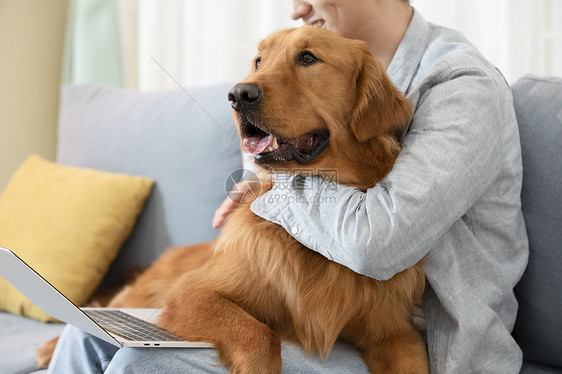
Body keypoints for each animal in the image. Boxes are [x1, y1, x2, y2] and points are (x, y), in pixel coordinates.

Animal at [39, 24, 426, 372]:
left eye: (307, 58)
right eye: (258, 61)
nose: (239, 94)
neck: (315, 238)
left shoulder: (394, 332)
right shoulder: (192, 293)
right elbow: (260, 334)